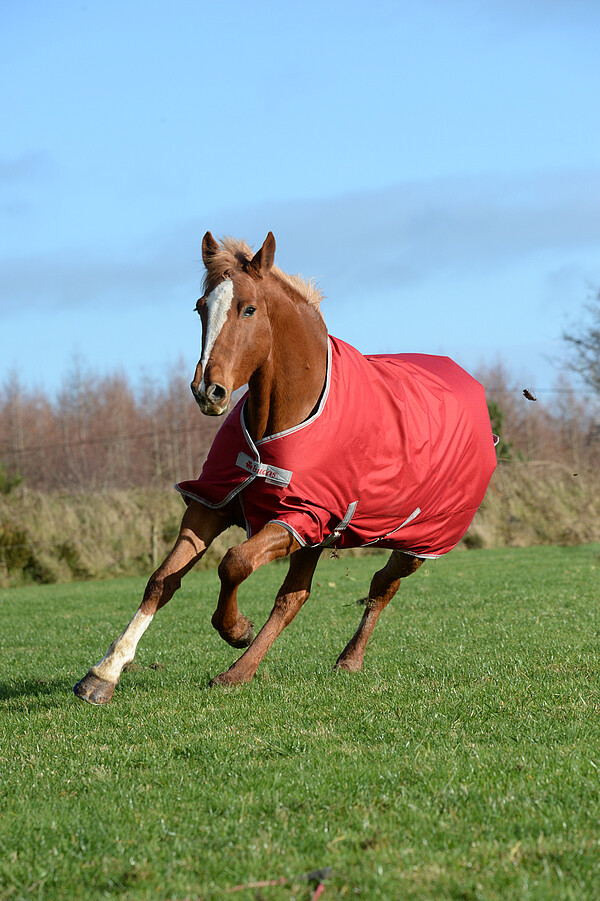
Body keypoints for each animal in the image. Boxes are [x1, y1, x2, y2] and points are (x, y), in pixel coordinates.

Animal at [75, 232, 496, 704]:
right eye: (201, 307)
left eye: (249, 309)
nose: (208, 391)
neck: (280, 422)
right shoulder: (214, 502)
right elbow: (162, 580)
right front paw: (103, 674)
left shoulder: (298, 517)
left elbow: (234, 562)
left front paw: (236, 629)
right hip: (320, 538)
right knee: (296, 597)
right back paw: (249, 669)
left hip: (418, 541)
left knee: (382, 586)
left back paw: (308, 664)